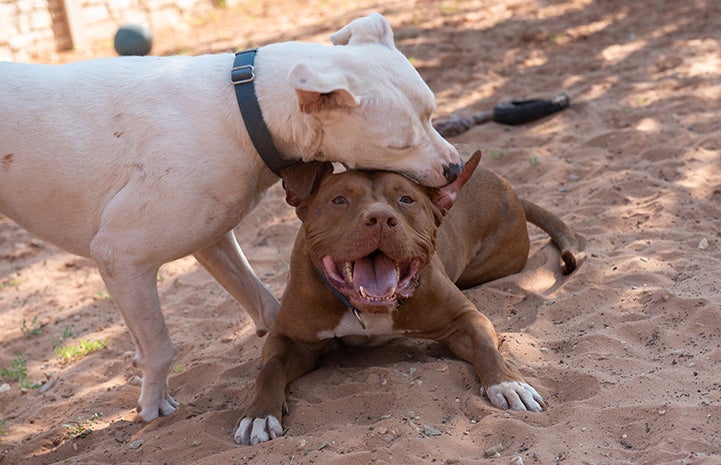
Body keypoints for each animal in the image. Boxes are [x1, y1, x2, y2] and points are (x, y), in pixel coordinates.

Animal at [0, 13, 458, 420]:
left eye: (431, 112)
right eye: (398, 145)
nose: (454, 169)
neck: (243, 110)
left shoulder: (213, 240)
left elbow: (267, 308)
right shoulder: (122, 258)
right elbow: (160, 346)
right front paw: (152, 405)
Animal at [233, 151, 576, 442]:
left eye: (406, 199)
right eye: (339, 200)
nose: (380, 218)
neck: (366, 310)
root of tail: (508, 187)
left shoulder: (466, 319)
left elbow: (485, 348)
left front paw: (508, 384)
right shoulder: (291, 339)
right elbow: (270, 369)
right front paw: (258, 415)